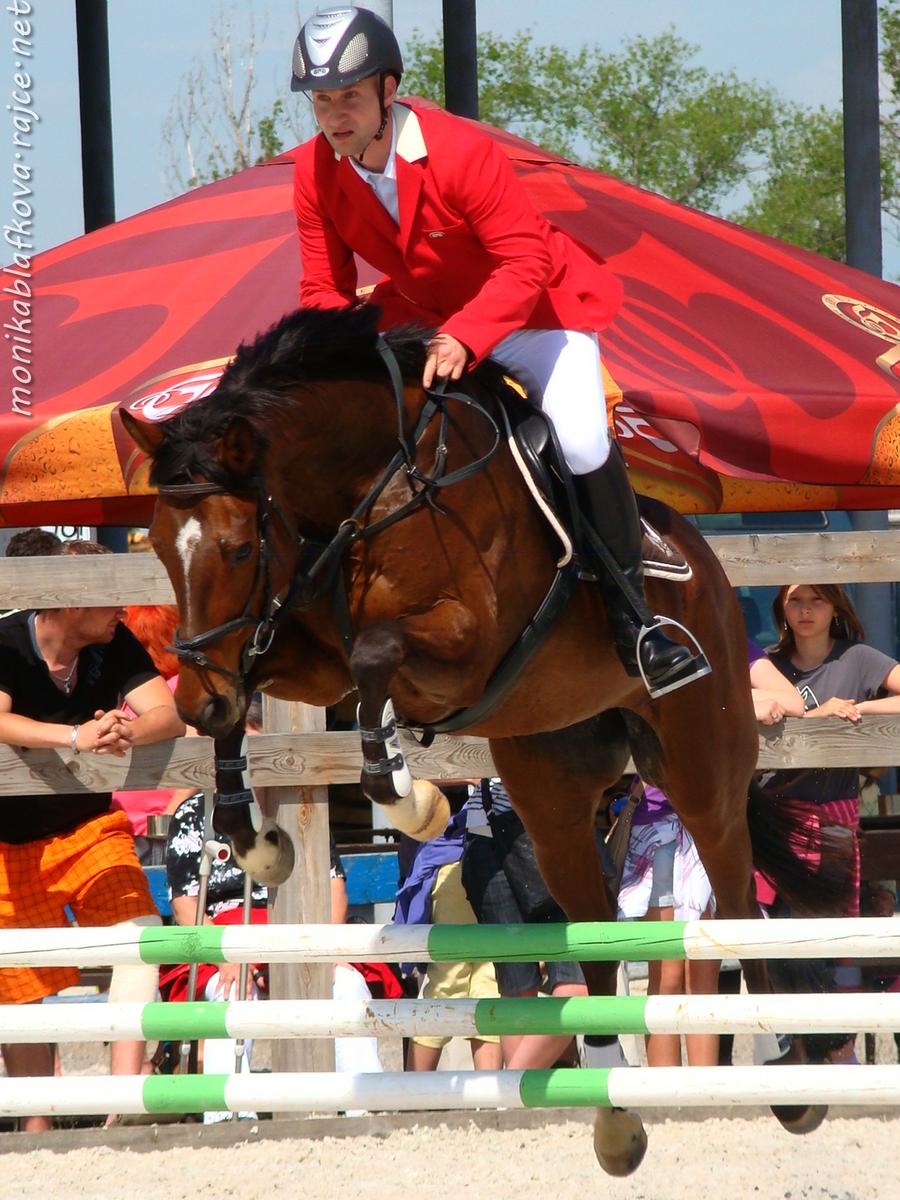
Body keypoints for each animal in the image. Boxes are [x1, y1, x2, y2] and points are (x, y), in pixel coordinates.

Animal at [123, 304, 849, 1176]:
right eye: (159, 544)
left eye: (236, 546)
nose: (195, 699)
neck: (374, 491)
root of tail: (703, 560)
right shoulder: (307, 654)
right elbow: (269, 678)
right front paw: (258, 842)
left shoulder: (464, 650)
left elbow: (376, 659)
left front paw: (407, 793)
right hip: (556, 796)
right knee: (592, 936)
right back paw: (615, 1119)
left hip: (701, 767)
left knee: (736, 903)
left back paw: (786, 1077)